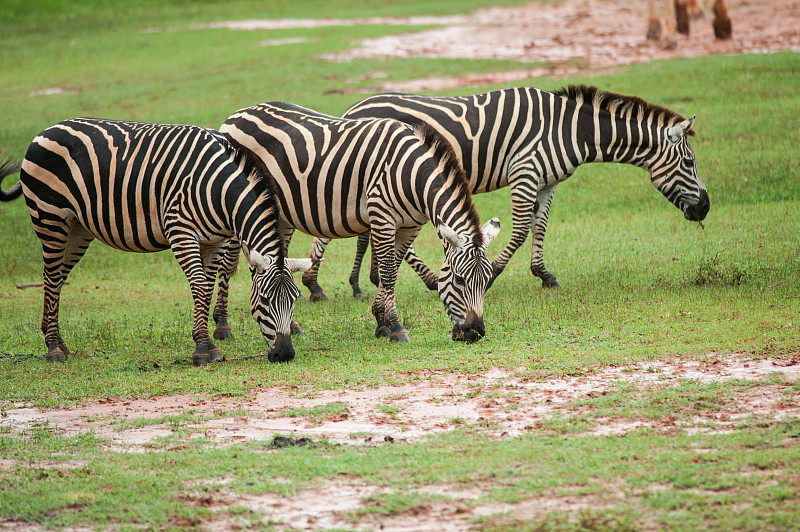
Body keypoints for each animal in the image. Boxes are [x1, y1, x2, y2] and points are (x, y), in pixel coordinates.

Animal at [0, 117, 312, 366]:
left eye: (295, 299)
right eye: (265, 300)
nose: (285, 355)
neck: (221, 192)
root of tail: (46, 130)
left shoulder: (214, 240)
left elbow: (207, 288)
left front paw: (208, 346)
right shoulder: (181, 231)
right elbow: (200, 286)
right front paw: (203, 350)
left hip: (77, 228)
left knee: (55, 279)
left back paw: (57, 341)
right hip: (50, 217)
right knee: (52, 277)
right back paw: (53, 349)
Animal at [219, 103, 500, 344]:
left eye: (488, 280)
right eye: (460, 280)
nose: (475, 332)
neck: (412, 176)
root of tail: (235, 115)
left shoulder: (411, 226)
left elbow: (392, 270)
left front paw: (381, 322)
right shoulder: (383, 217)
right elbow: (388, 273)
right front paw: (396, 327)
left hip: (281, 215)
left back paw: (292, 325)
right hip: (239, 208)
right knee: (225, 264)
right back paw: (222, 327)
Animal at [298, 84, 708, 298]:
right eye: (690, 163)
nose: (705, 208)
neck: (572, 130)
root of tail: (353, 108)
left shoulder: (546, 182)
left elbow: (540, 227)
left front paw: (544, 274)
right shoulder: (524, 172)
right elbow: (522, 229)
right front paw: (493, 273)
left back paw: (356, 280)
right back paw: (318, 282)